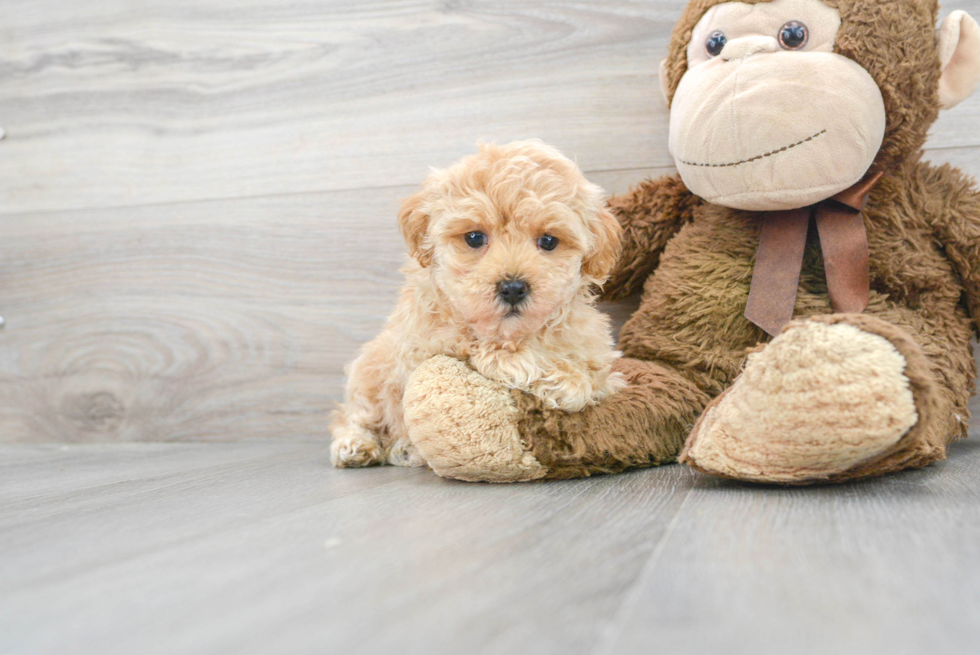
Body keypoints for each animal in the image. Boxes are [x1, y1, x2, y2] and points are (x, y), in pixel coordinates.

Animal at [328, 138, 620, 468]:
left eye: (548, 241)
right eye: (474, 238)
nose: (513, 288)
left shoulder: (597, 354)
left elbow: (598, 376)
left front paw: (574, 378)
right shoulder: (429, 343)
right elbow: (487, 347)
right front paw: (565, 378)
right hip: (369, 373)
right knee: (354, 415)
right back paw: (357, 445)